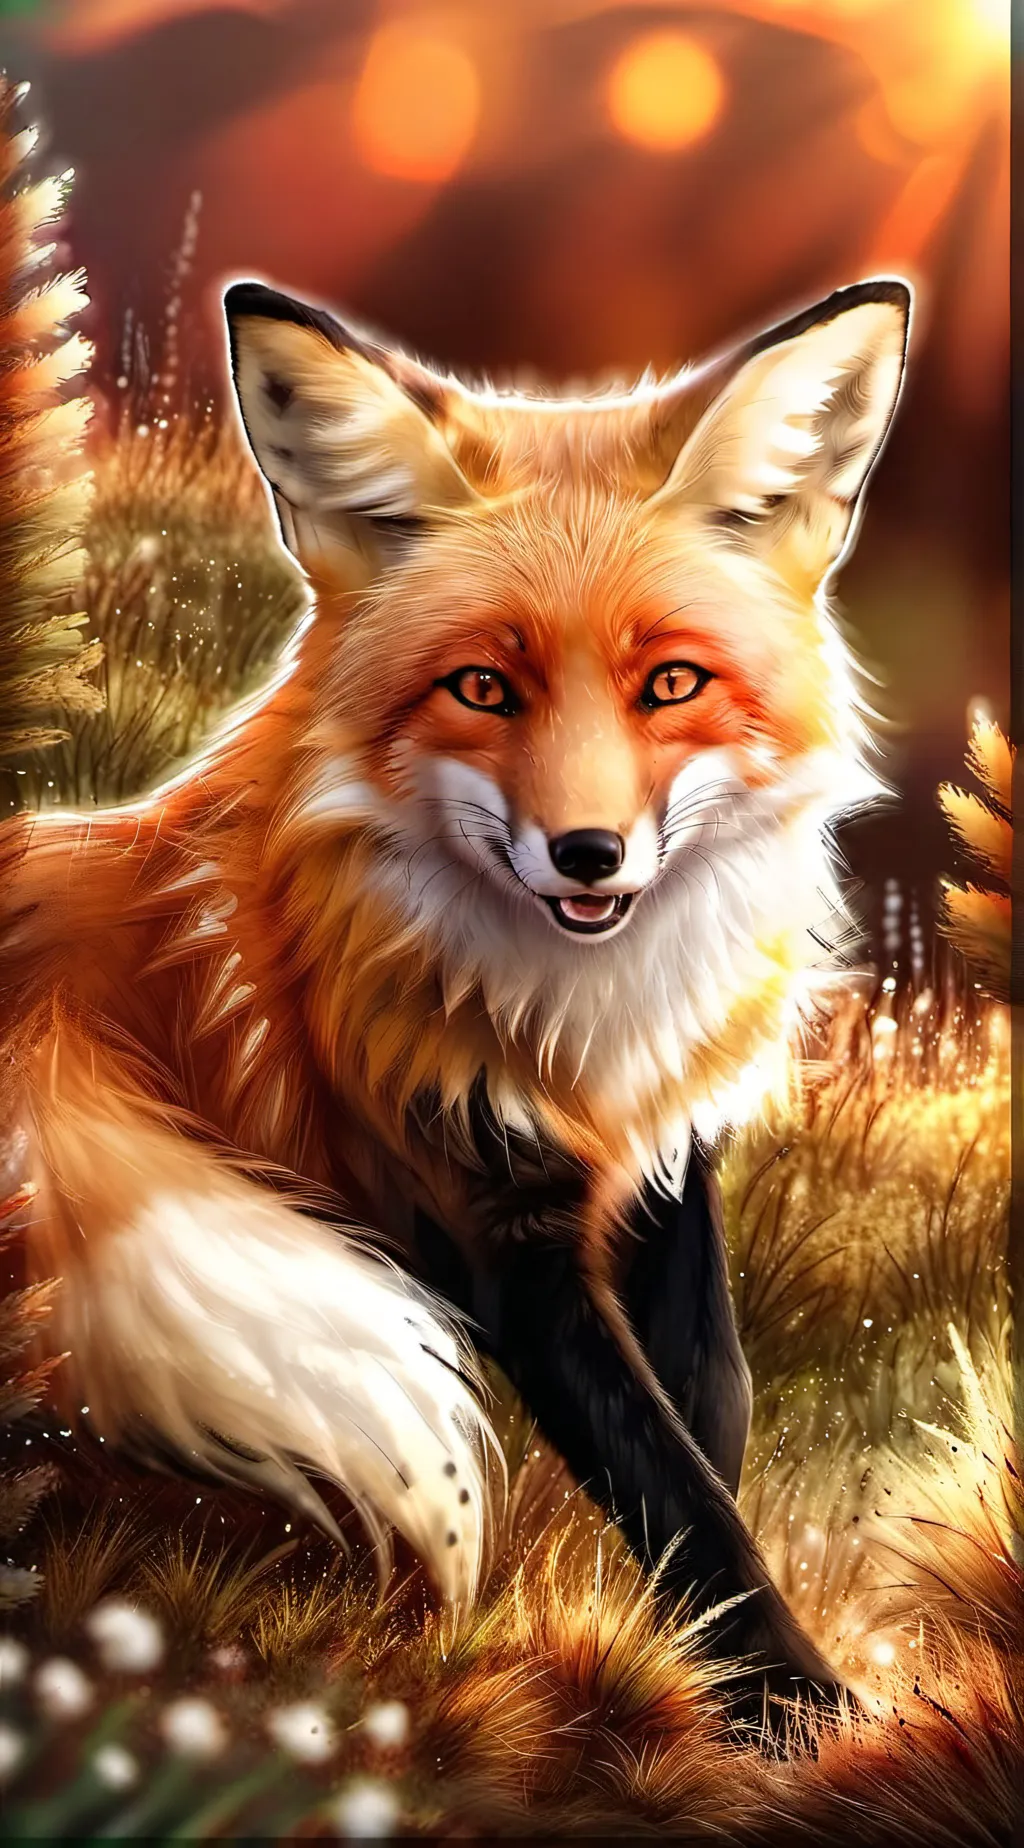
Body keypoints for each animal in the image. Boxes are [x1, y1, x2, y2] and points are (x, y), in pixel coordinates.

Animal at [0, 274, 910, 1717]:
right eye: (484, 687)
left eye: (672, 682)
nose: (589, 853)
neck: (584, 1022)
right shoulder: (485, 1211)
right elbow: (670, 1484)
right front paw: (795, 1711)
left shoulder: (665, 1168)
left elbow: (709, 1413)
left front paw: (681, 1658)